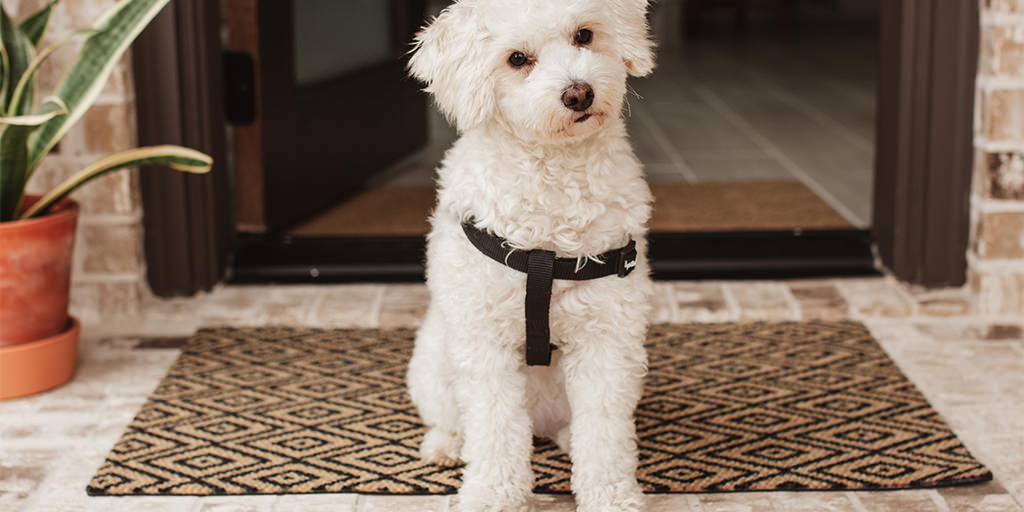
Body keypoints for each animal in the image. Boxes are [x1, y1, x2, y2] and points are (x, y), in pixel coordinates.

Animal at [403, 2, 651, 509]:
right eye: (517, 59)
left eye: (584, 35)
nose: (579, 93)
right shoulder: (485, 342)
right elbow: (494, 427)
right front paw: (493, 495)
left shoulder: (607, 336)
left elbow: (605, 433)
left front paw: (610, 494)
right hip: (434, 366)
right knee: (454, 419)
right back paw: (445, 445)